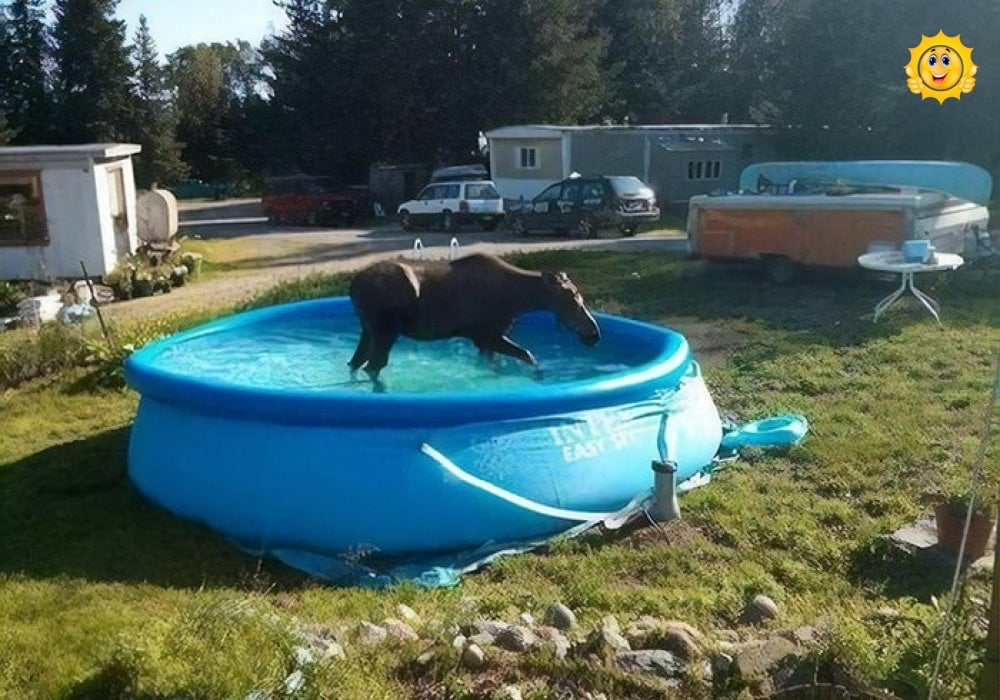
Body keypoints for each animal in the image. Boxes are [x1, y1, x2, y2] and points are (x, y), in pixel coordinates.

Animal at [350, 252, 600, 382]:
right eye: (573, 299)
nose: (594, 334)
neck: (519, 300)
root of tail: (353, 286)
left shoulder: (485, 341)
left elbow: (494, 365)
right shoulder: (487, 336)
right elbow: (529, 356)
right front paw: (538, 377)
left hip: (368, 330)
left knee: (356, 362)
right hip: (386, 331)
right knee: (374, 365)